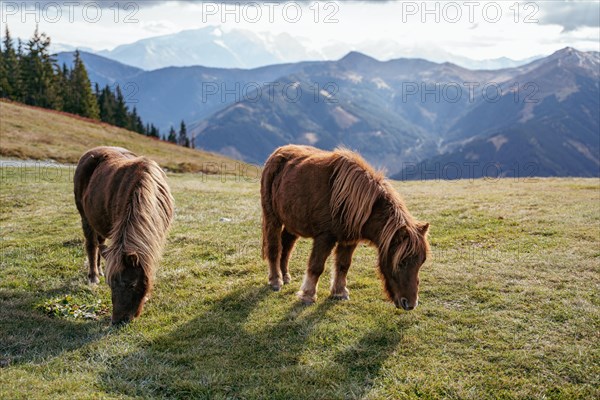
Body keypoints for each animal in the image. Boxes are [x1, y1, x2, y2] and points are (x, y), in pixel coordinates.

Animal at [74, 147, 175, 324]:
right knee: (91, 245)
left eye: (131, 285)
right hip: (86, 217)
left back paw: (100, 270)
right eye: (110, 285)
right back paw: (93, 276)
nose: (117, 321)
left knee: (100, 245)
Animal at [260, 145, 428, 310]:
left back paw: (285, 276)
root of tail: (277, 152)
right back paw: (276, 280)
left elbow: (343, 265)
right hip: (272, 218)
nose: (410, 304)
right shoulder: (324, 237)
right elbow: (316, 267)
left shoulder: (349, 240)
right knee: (274, 248)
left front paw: (339, 292)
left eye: (421, 262)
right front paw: (308, 295)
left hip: (292, 223)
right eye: (402, 262)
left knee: (286, 247)